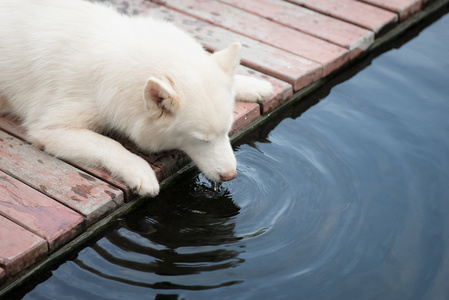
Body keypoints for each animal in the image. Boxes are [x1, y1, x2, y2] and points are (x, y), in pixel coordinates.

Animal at [0, 0, 272, 196]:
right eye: (201, 140)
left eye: (226, 132)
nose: (230, 176)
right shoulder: (49, 128)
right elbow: (110, 144)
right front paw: (140, 171)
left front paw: (254, 84)